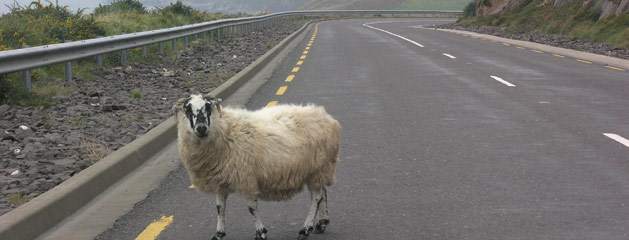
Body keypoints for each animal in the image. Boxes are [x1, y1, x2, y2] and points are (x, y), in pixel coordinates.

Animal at [172, 94, 340, 240]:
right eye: (187, 109)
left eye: (208, 107)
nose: (201, 128)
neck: (225, 131)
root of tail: (326, 116)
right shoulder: (220, 179)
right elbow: (220, 207)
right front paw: (219, 234)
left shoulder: (247, 178)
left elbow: (251, 208)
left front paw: (261, 233)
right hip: (319, 170)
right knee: (322, 193)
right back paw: (321, 223)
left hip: (319, 167)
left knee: (316, 197)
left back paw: (305, 229)